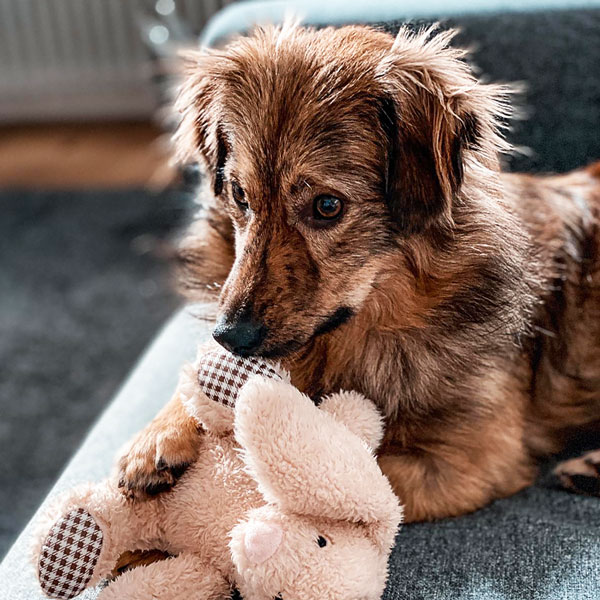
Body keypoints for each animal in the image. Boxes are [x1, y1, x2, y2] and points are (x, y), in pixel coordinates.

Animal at [117, 23, 600, 520]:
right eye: (239, 195)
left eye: (328, 206)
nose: (230, 335)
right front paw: (155, 438)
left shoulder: (470, 461)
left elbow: (326, 477)